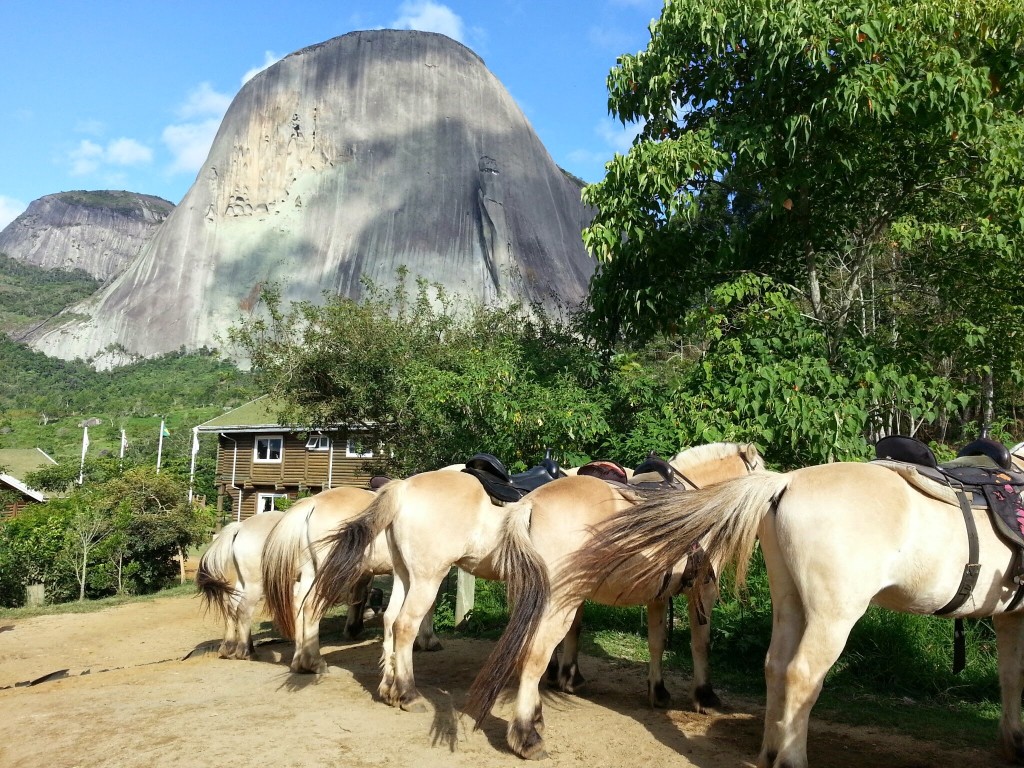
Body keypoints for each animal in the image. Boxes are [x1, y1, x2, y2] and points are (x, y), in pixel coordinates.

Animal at [195, 512, 282, 663]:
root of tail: (240, 527)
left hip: (237, 587)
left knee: (230, 610)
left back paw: (229, 648)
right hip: (253, 585)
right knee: (243, 610)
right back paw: (246, 652)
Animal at [260, 487, 440, 671]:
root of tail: (313, 502)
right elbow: (430, 603)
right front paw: (428, 640)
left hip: (311, 571)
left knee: (298, 604)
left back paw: (299, 661)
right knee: (310, 607)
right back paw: (315, 662)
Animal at [311, 442, 761, 720]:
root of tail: (402, 488)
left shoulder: (651, 591)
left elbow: (648, 639)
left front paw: (574, 677)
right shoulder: (700, 588)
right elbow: (699, 642)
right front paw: (704, 696)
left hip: (407, 574)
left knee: (390, 622)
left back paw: (390, 687)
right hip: (427, 576)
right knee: (404, 626)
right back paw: (407, 693)